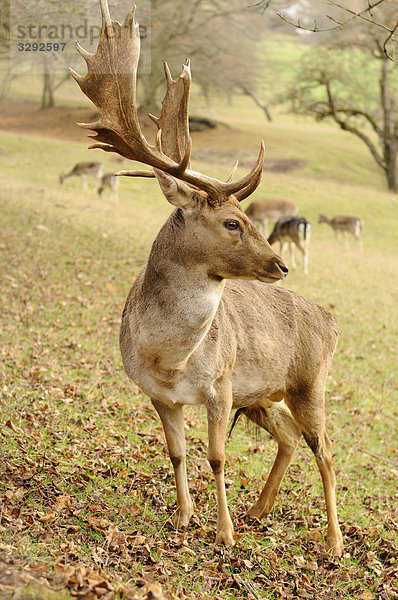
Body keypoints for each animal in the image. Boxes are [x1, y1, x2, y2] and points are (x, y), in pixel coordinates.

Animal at [71, 1, 346, 556]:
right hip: (261, 394)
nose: (280, 265)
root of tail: (333, 324)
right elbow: (176, 453)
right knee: (289, 437)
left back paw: (332, 542)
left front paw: (224, 534)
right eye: (233, 223)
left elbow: (218, 457)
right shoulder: (159, 395)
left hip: (310, 381)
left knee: (326, 451)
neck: (171, 358)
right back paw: (259, 510)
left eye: (245, 216)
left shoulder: (220, 385)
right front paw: (183, 518)